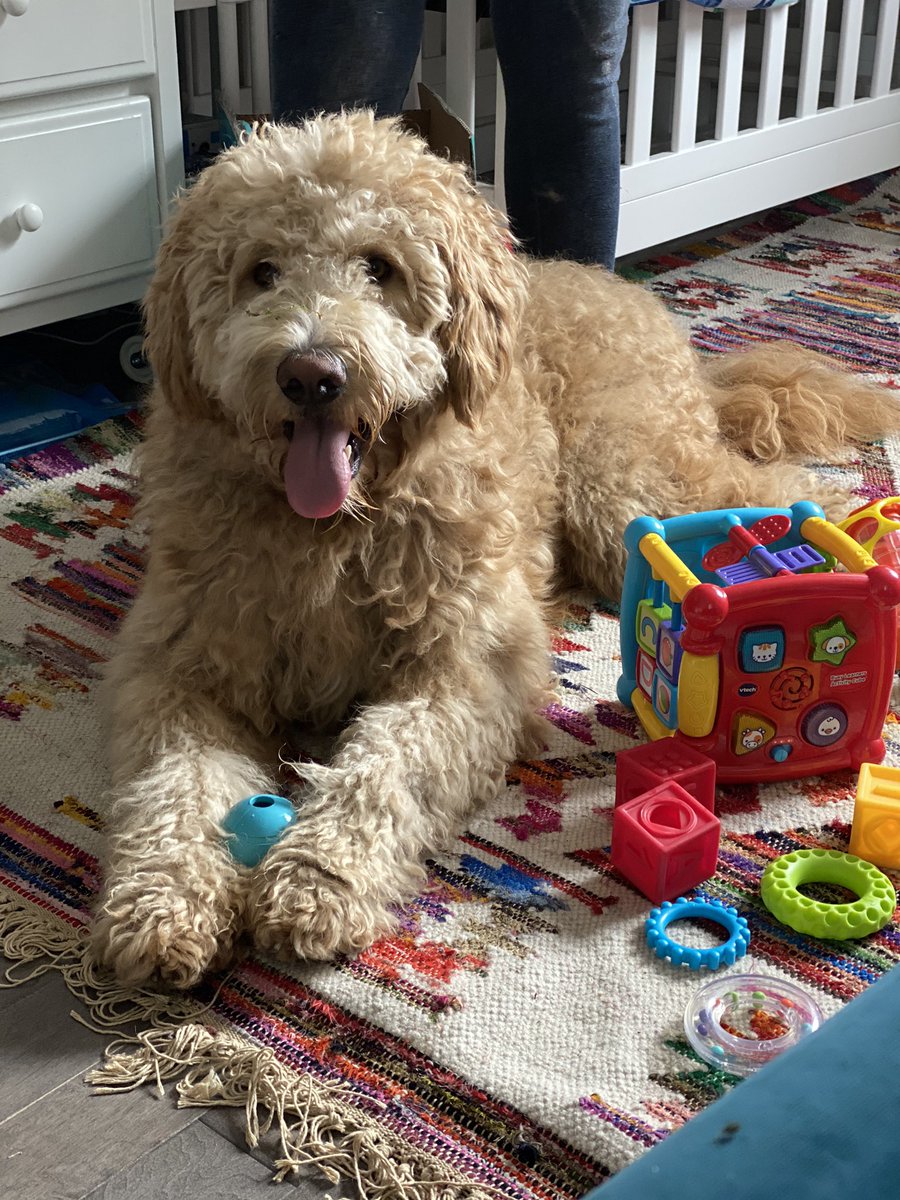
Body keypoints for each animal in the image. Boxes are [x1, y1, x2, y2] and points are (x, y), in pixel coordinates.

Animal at [92, 111, 900, 988]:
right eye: (259, 271)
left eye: (379, 267)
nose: (311, 374)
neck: (333, 530)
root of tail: (623, 289)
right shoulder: (176, 667)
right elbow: (172, 784)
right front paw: (163, 902)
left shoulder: (468, 665)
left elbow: (388, 767)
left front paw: (319, 882)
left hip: (624, 483)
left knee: (780, 490)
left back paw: (858, 536)